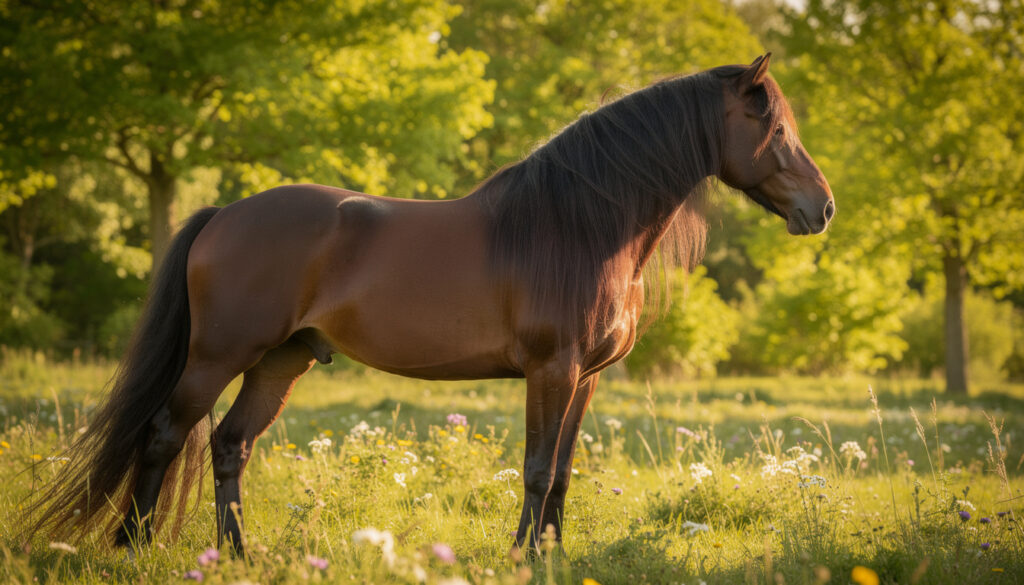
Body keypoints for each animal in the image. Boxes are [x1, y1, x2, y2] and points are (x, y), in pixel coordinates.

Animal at [23, 54, 833, 554]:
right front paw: (522, 556)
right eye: (774, 129)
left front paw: (553, 554)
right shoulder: (552, 369)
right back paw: (133, 545)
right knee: (165, 433)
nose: (822, 208)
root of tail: (224, 213)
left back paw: (238, 553)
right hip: (218, 355)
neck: (578, 225)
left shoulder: (588, 378)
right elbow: (537, 469)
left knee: (229, 444)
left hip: (280, 362)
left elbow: (563, 472)